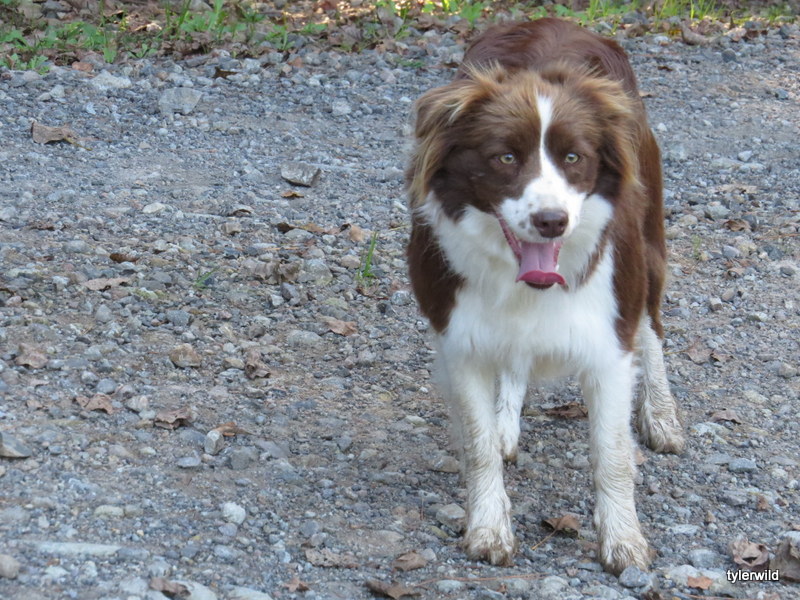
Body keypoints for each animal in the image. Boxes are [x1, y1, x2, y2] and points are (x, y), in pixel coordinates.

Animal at [406, 18, 685, 574]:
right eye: (505, 157)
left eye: (574, 157)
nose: (551, 221)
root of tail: (557, 21)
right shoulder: (459, 336)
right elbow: (479, 443)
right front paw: (489, 527)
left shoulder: (608, 339)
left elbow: (611, 452)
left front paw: (623, 540)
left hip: (648, 243)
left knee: (652, 327)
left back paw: (662, 416)